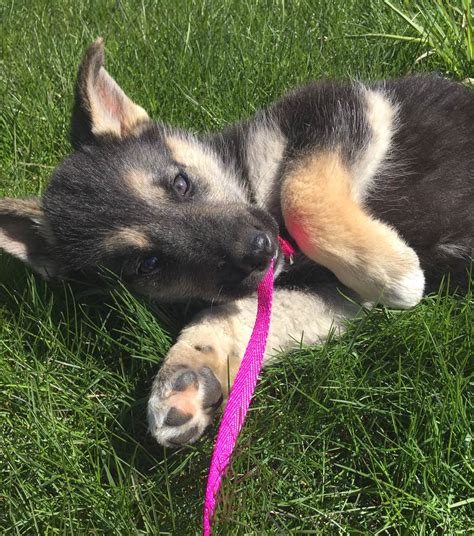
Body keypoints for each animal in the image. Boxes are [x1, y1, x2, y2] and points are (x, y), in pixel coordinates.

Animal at [0, 39, 474, 446]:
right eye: (146, 264)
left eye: (181, 183)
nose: (259, 250)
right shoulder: (335, 295)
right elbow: (232, 314)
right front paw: (188, 373)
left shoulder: (341, 104)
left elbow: (301, 194)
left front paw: (395, 272)